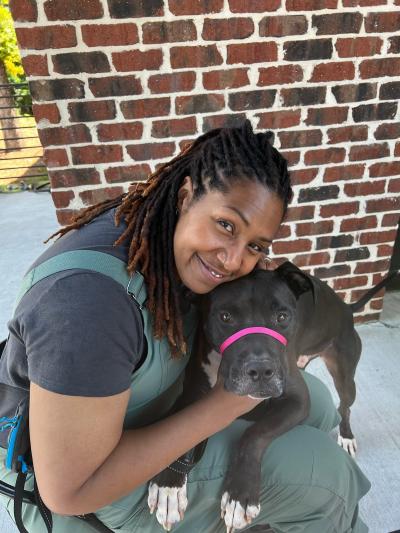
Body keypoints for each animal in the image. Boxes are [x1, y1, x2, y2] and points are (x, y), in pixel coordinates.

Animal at [146, 260, 394, 528]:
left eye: (282, 316)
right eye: (225, 316)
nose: (261, 370)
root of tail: (347, 310)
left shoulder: (297, 401)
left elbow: (255, 434)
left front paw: (240, 493)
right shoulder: (192, 395)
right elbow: (177, 438)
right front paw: (168, 486)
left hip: (345, 376)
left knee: (344, 406)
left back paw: (346, 436)